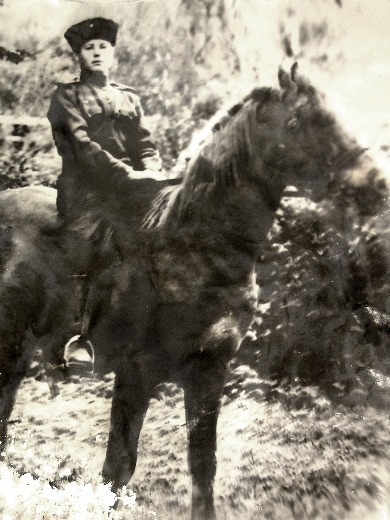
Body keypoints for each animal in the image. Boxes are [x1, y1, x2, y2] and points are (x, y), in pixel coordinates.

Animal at [0, 68, 370, 516]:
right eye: (298, 121)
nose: (370, 184)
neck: (199, 249)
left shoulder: (209, 370)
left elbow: (202, 465)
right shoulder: (136, 373)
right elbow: (118, 466)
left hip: (20, 350)